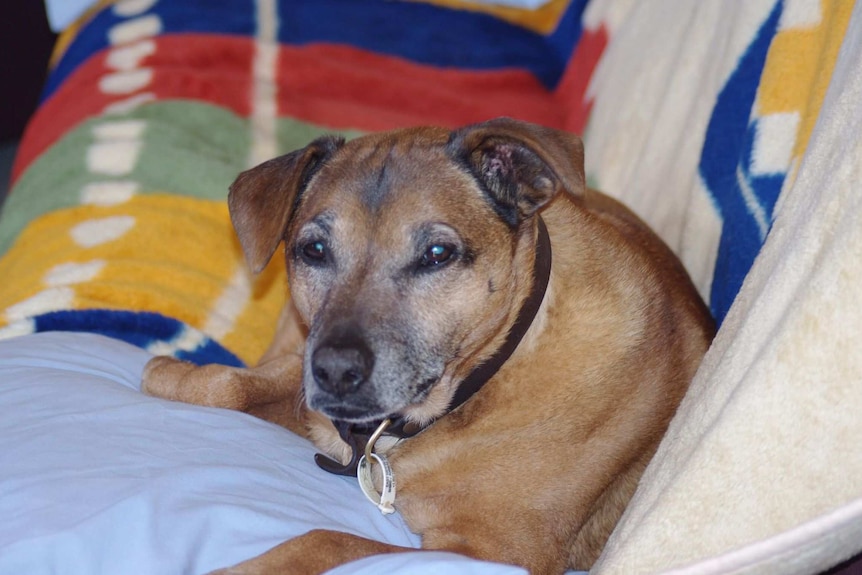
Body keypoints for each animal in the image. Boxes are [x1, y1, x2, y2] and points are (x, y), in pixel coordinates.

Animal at [143, 118, 716, 575]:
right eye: (315, 249)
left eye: (437, 254)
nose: (335, 371)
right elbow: (231, 386)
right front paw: (173, 373)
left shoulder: (491, 552)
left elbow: (328, 539)